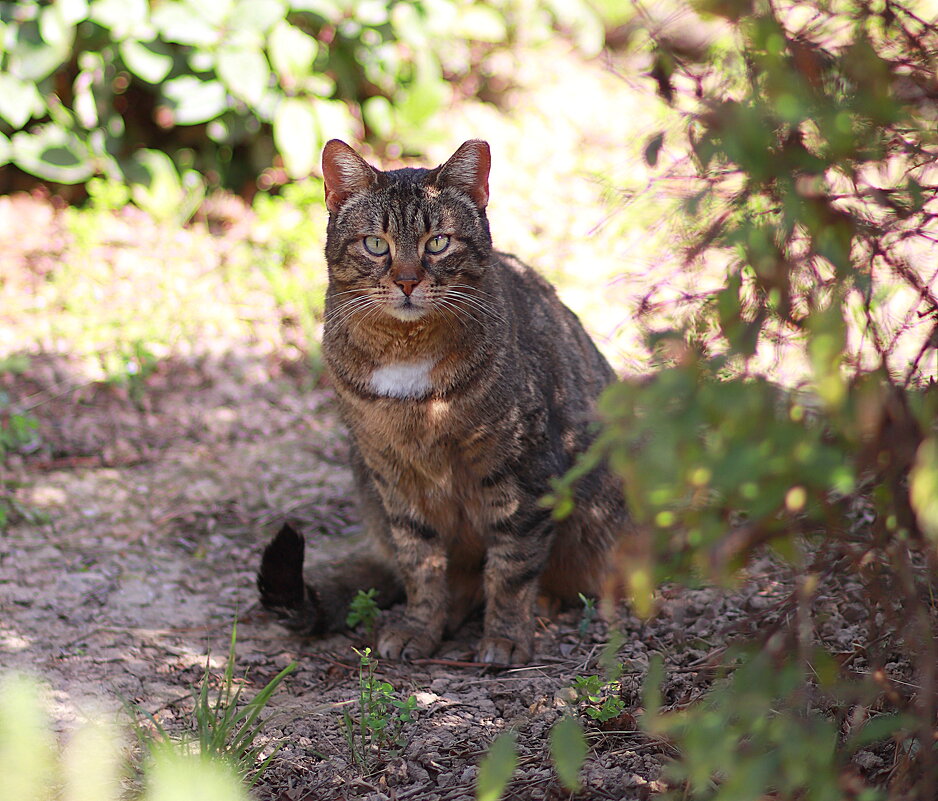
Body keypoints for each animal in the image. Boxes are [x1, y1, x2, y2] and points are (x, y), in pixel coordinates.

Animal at [254, 138, 628, 664]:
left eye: (437, 242)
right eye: (376, 244)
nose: (408, 280)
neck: (407, 358)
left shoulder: (523, 470)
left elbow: (511, 568)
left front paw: (506, 636)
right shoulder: (395, 477)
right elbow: (422, 565)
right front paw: (421, 626)